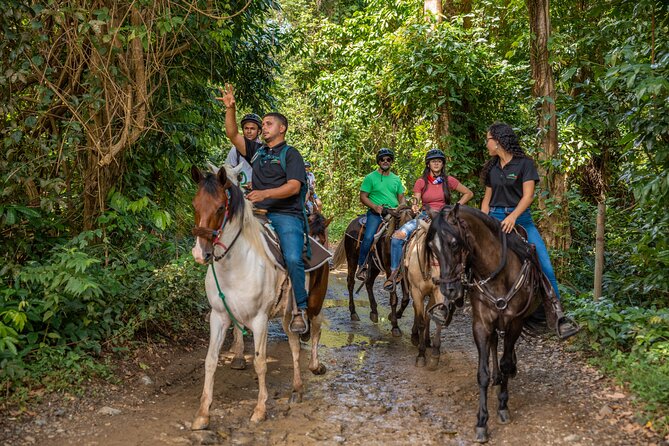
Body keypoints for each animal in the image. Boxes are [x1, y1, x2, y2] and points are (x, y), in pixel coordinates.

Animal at [189, 166, 330, 426]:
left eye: (220, 207)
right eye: (195, 205)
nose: (200, 253)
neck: (235, 267)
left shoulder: (259, 319)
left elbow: (260, 362)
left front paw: (260, 410)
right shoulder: (219, 316)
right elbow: (211, 360)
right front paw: (203, 415)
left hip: (315, 300)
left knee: (315, 329)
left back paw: (316, 367)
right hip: (287, 315)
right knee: (295, 344)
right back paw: (297, 389)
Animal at [330, 207, 412, 336]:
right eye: (400, 223)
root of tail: (351, 223)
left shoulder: (403, 271)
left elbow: (406, 298)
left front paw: (394, 316)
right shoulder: (390, 271)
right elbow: (394, 298)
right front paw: (395, 326)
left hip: (374, 266)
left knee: (369, 283)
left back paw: (374, 312)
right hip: (352, 259)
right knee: (351, 283)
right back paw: (353, 313)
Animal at [428, 206, 552, 442]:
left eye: (454, 243)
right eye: (431, 247)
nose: (449, 290)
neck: (495, 272)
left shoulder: (515, 322)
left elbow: (506, 361)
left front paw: (503, 406)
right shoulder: (481, 324)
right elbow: (482, 373)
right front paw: (481, 423)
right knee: (495, 343)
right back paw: (497, 378)